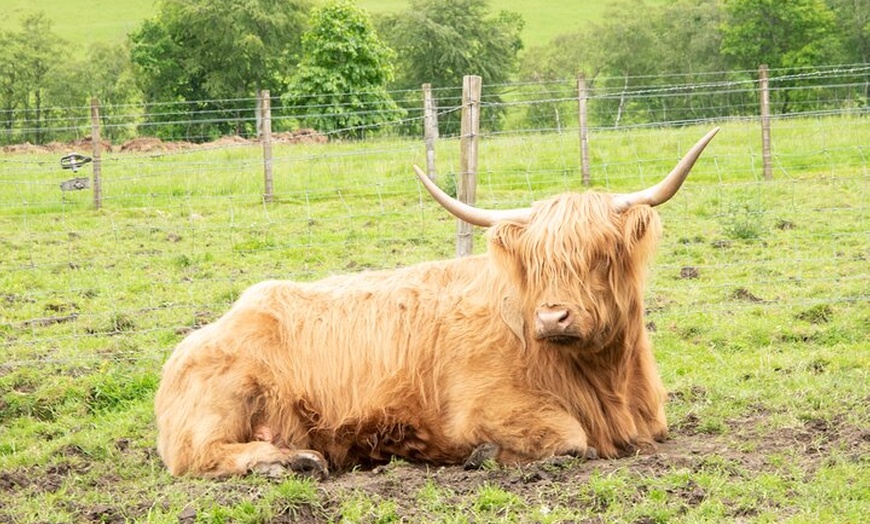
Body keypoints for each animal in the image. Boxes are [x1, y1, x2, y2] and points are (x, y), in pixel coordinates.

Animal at [154, 128, 719, 479]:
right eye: (535, 263)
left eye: (600, 254)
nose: (552, 315)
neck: (606, 379)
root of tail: (198, 337)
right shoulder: (487, 409)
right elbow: (569, 438)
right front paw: (484, 455)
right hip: (222, 405)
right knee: (201, 455)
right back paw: (293, 461)